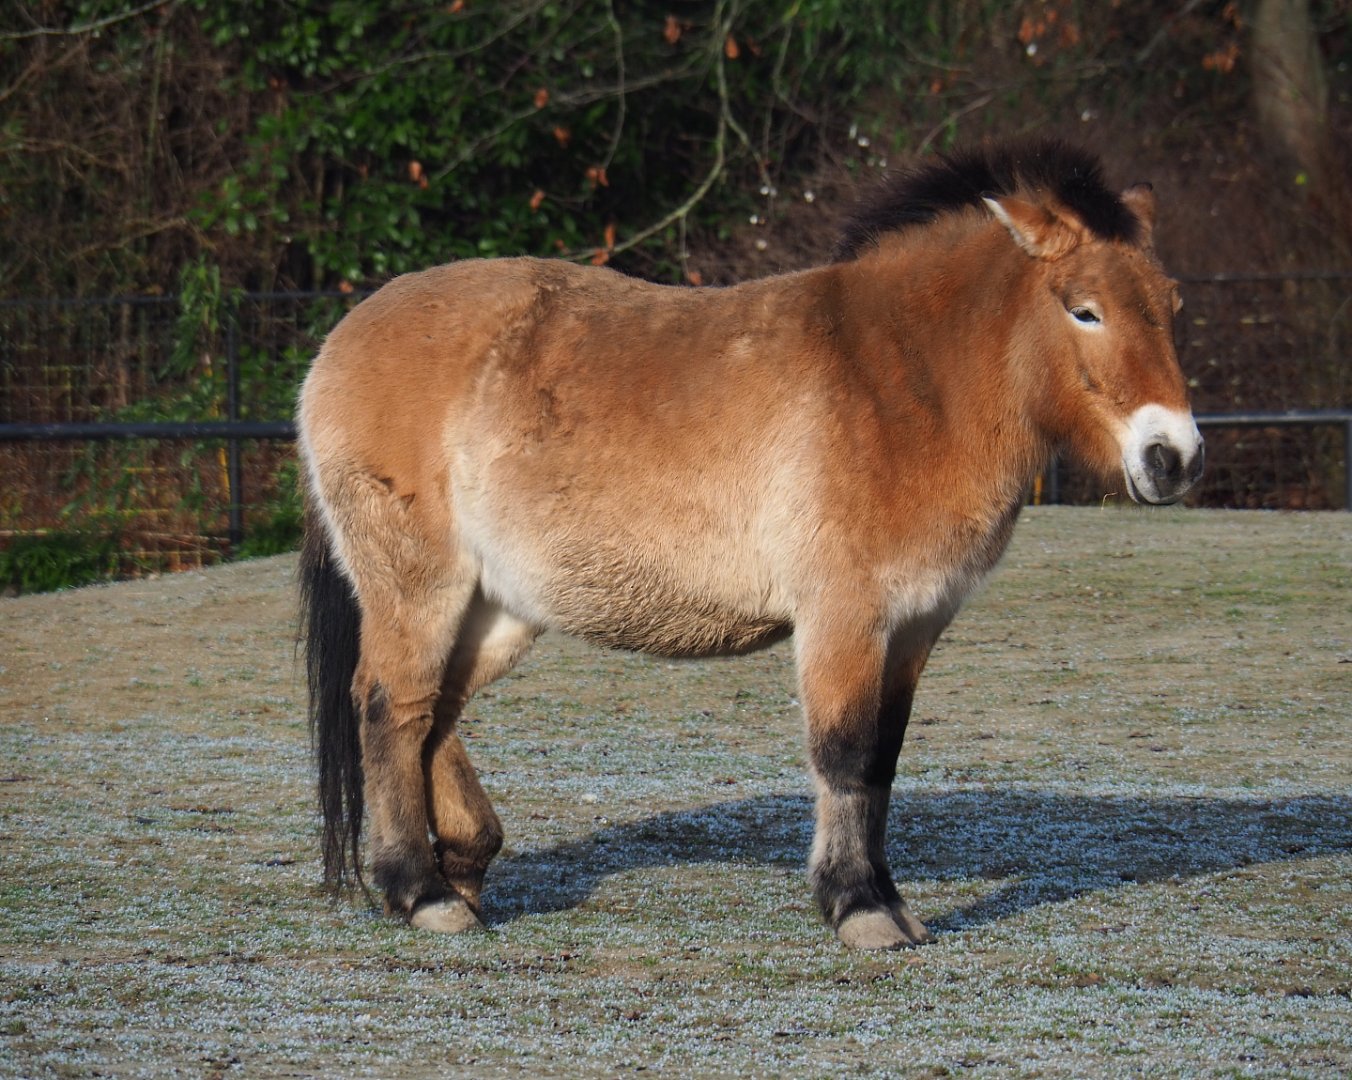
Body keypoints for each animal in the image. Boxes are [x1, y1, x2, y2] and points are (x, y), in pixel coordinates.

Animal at [297, 138, 1203, 950]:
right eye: (1083, 308)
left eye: (1171, 304)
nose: (1174, 456)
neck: (900, 382)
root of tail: (340, 340)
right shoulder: (844, 618)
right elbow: (843, 754)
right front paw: (859, 908)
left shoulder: (914, 626)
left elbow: (882, 760)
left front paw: (890, 902)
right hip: (421, 588)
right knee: (391, 705)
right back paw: (421, 892)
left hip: (500, 608)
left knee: (434, 713)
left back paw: (465, 867)